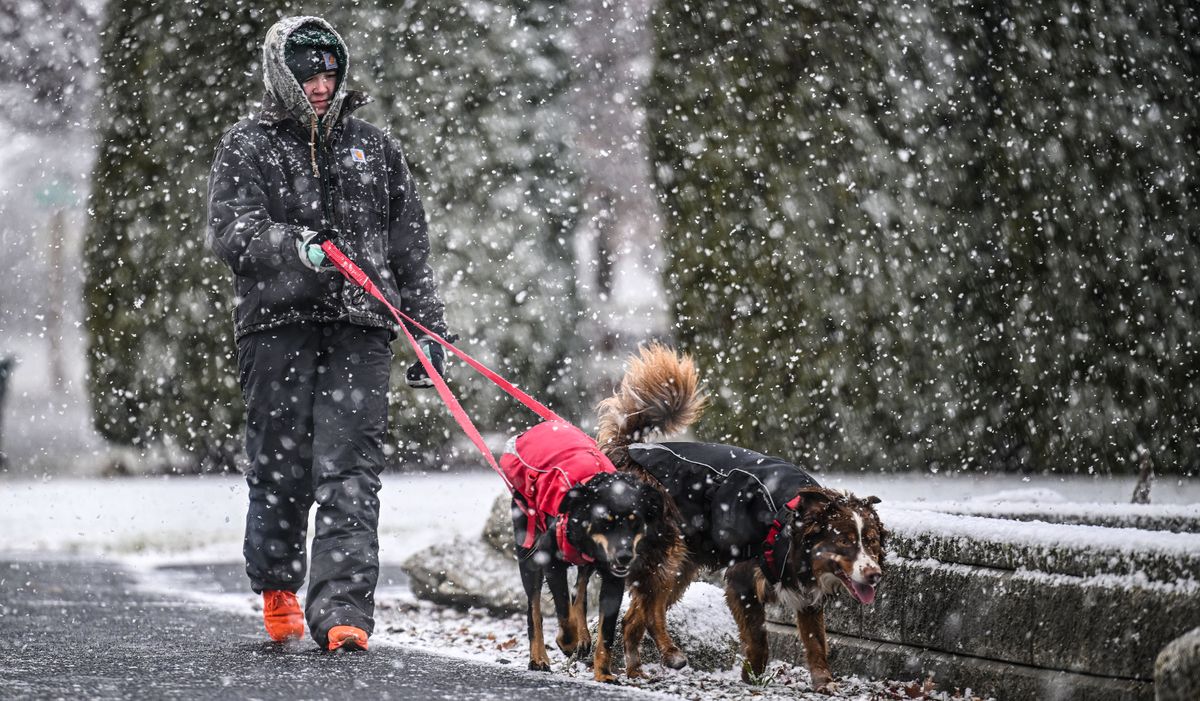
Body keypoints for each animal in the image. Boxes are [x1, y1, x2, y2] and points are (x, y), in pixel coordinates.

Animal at [597, 345, 888, 691]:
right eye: (844, 541)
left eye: (870, 543)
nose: (875, 575)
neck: (790, 526)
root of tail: (628, 451)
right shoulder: (742, 579)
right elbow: (759, 638)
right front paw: (753, 675)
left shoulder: (807, 594)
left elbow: (817, 641)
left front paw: (824, 682)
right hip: (668, 549)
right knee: (653, 610)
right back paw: (671, 654)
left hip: (679, 565)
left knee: (634, 617)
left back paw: (636, 671)